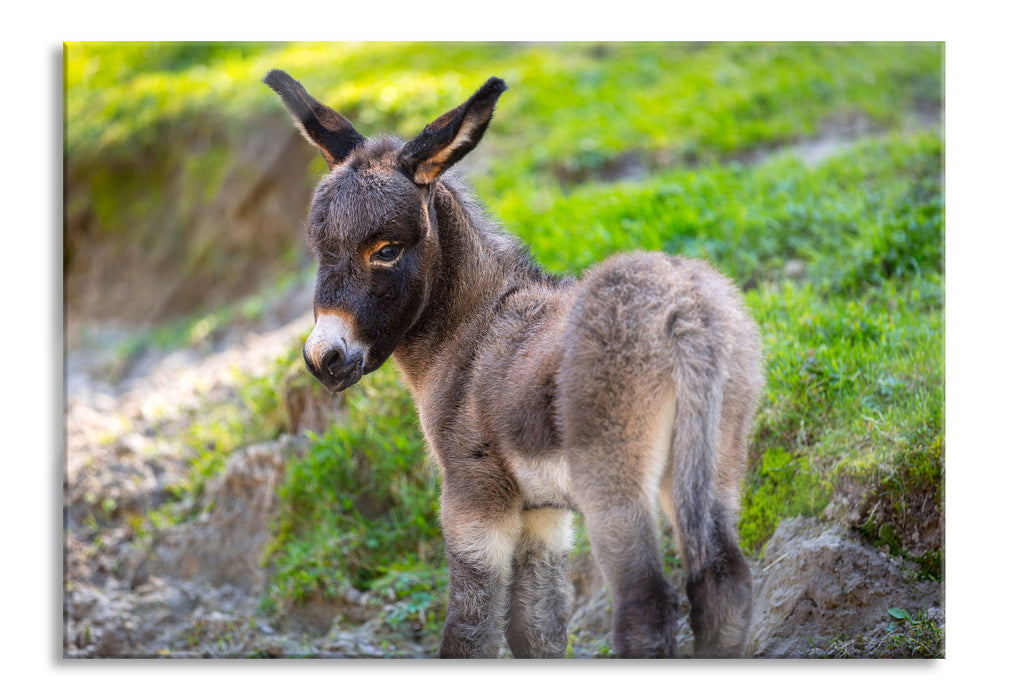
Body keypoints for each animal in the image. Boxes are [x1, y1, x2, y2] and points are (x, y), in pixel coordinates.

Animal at [266, 71, 762, 657]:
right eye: (319, 248)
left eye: (386, 250)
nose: (325, 358)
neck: (472, 331)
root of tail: (686, 314)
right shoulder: (544, 514)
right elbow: (536, 629)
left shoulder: (473, 498)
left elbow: (471, 630)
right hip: (714, 462)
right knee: (723, 583)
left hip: (615, 482)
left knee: (646, 604)